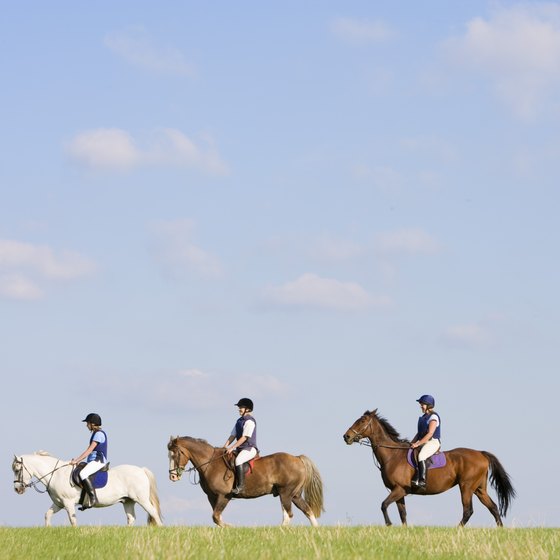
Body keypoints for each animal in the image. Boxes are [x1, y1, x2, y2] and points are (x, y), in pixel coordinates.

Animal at [12, 452, 162, 528]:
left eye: (17, 470)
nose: (17, 489)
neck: (56, 474)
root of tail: (141, 470)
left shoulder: (68, 503)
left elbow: (72, 520)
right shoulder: (58, 503)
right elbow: (47, 515)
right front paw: (48, 531)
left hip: (141, 499)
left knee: (154, 513)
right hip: (128, 501)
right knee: (131, 518)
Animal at [166, 438, 324, 524]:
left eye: (175, 454)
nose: (172, 476)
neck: (210, 463)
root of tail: (297, 458)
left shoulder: (223, 496)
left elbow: (216, 517)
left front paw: (231, 528)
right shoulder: (212, 497)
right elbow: (217, 518)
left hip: (286, 493)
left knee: (289, 515)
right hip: (294, 495)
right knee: (307, 510)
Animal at [342, 410, 516, 528]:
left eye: (362, 421)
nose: (346, 437)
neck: (392, 455)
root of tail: (480, 453)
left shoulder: (399, 489)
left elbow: (384, 505)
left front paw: (389, 525)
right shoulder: (399, 491)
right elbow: (402, 513)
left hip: (466, 487)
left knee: (468, 511)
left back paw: (456, 530)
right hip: (479, 488)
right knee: (493, 507)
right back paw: (500, 530)